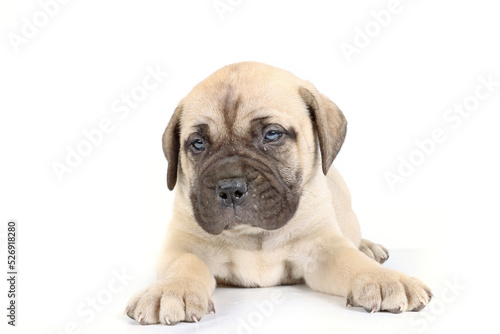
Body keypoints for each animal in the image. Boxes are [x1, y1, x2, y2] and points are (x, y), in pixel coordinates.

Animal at [126, 61, 434, 324]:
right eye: (198, 144)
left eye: (272, 135)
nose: (229, 188)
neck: (254, 236)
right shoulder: (182, 246)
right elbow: (185, 263)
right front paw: (170, 290)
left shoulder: (323, 249)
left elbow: (351, 260)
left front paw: (384, 279)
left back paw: (369, 248)